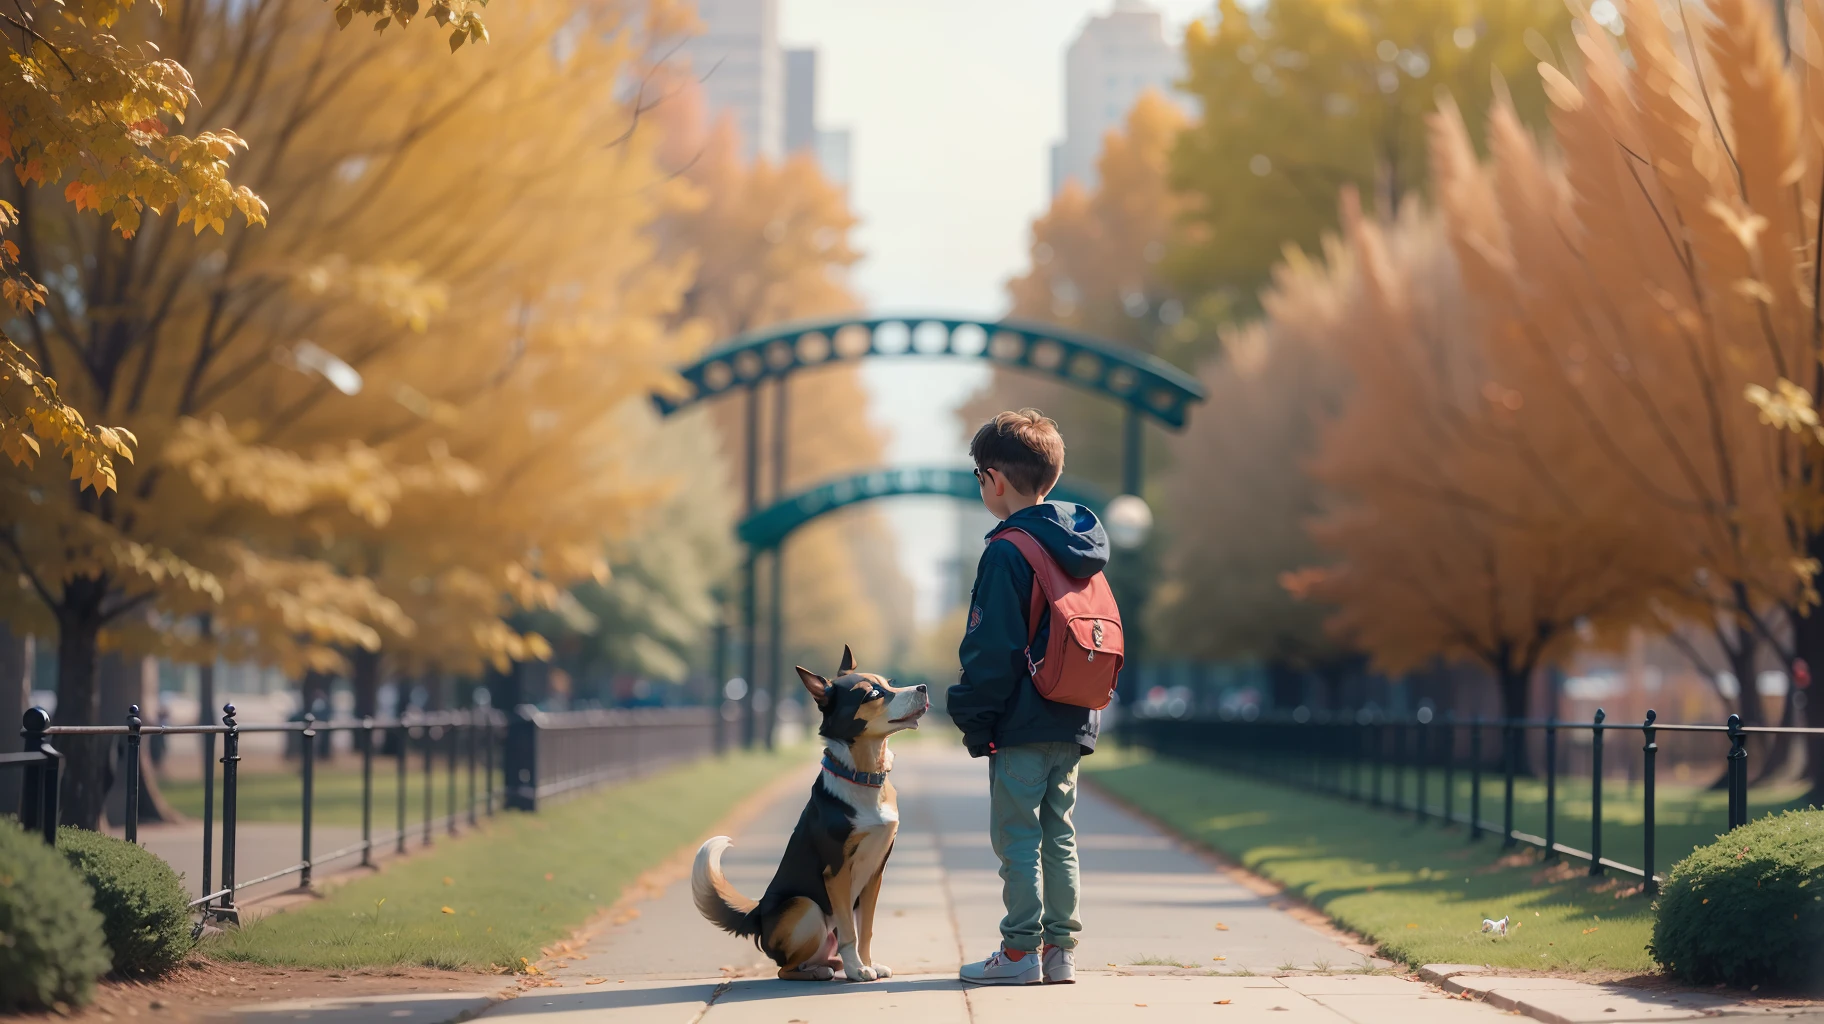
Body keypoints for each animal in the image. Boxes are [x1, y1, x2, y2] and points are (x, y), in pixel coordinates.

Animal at [693, 646, 933, 985]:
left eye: (891, 683)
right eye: (873, 694)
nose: (923, 688)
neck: (862, 774)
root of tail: (758, 915)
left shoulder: (875, 873)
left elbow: (866, 930)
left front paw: (868, 963)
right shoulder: (837, 871)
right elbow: (849, 932)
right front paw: (858, 969)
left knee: (817, 957)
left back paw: (834, 965)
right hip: (806, 907)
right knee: (785, 969)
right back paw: (825, 971)